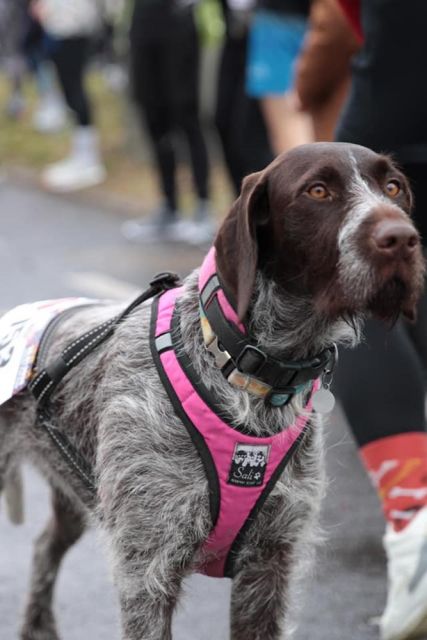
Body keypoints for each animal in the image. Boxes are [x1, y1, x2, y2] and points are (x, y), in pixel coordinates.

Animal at [0, 142, 424, 636]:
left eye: (393, 187)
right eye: (318, 190)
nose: (402, 238)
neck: (247, 368)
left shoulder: (269, 566)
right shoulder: (147, 570)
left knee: (45, 543)